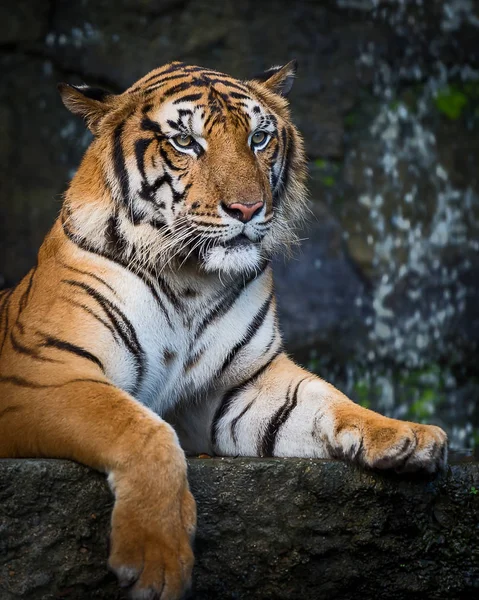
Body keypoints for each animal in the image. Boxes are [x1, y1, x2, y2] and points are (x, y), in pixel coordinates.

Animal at [0, 62, 450, 600]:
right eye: (186, 142)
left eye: (258, 138)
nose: (247, 209)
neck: (189, 279)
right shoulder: (43, 375)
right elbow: (140, 427)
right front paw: (157, 557)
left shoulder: (242, 383)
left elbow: (327, 398)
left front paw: (407, 434)